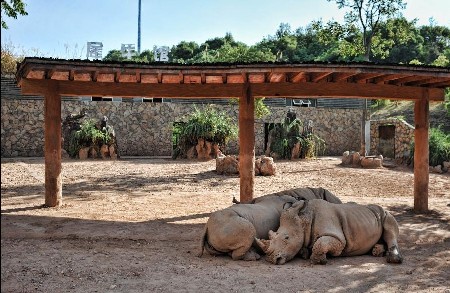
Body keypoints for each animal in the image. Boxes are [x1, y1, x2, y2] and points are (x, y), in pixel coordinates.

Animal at [256, 200, 404, 264]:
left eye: (286, 238)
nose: (270, 259)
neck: (304, 219)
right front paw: (304, 253)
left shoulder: (338, 238)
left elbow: (321, 243)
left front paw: (319, 260)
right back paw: (376, 251)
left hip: (385, 213)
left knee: (390, 228)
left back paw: (393, 259)